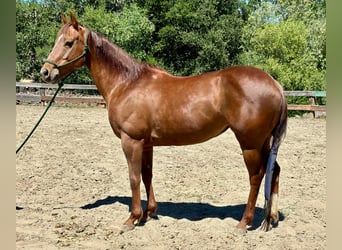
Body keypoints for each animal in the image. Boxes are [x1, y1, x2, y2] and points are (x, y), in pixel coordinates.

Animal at [39, 13, 286, 232]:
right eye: (57, 39)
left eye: (69, 42)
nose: (46, 72)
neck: (127, 83)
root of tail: (275, 84)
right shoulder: (146, 144)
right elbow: (147, 175)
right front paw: (149, 213)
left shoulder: (131, 141)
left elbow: (134, 178)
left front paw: (133, 218)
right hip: (263, 142)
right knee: (274, 171)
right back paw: (271, 217)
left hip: (250, 144)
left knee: (256, 177)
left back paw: (244, 223)